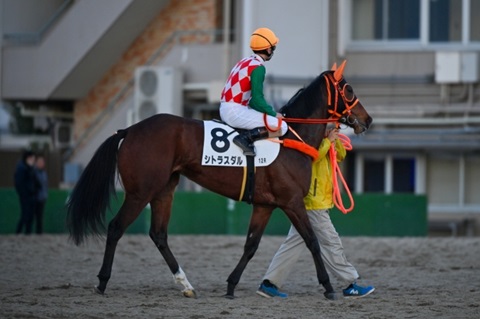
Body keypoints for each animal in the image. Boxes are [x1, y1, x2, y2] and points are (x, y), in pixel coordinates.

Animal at [66, 61, 372, 302]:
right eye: (348, 89)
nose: (367, 120)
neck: (291, 139)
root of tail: (129, 130)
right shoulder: (292, 202)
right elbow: (312, 241)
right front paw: (328, 286)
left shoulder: (265, 205)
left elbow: (251, 246)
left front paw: (231, 285)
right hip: (141, 192)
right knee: (116, 227)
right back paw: (102, 281)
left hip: (165, 190)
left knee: (159, 235)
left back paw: (186, 285)